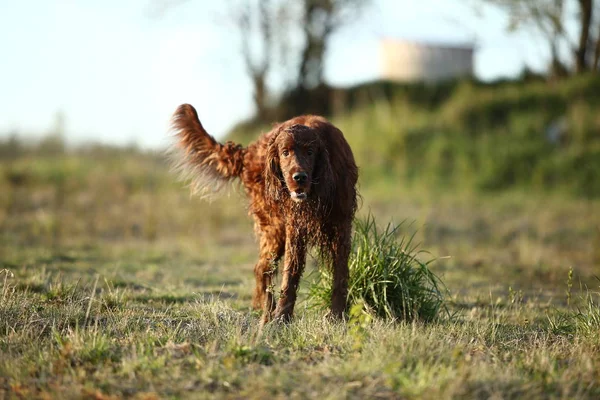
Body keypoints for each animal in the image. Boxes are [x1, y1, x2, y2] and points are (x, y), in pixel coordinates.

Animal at [169, 104, 356, 324]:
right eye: (285, 152)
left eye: (310, 152)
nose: (299, 177)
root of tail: (248, 151)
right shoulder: (295, 227)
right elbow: (290, 274)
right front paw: (281, 318)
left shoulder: (342, 225)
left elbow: (340, 272)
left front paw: (337, 314)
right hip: (273, 229)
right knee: (262, 269)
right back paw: (267, 314)